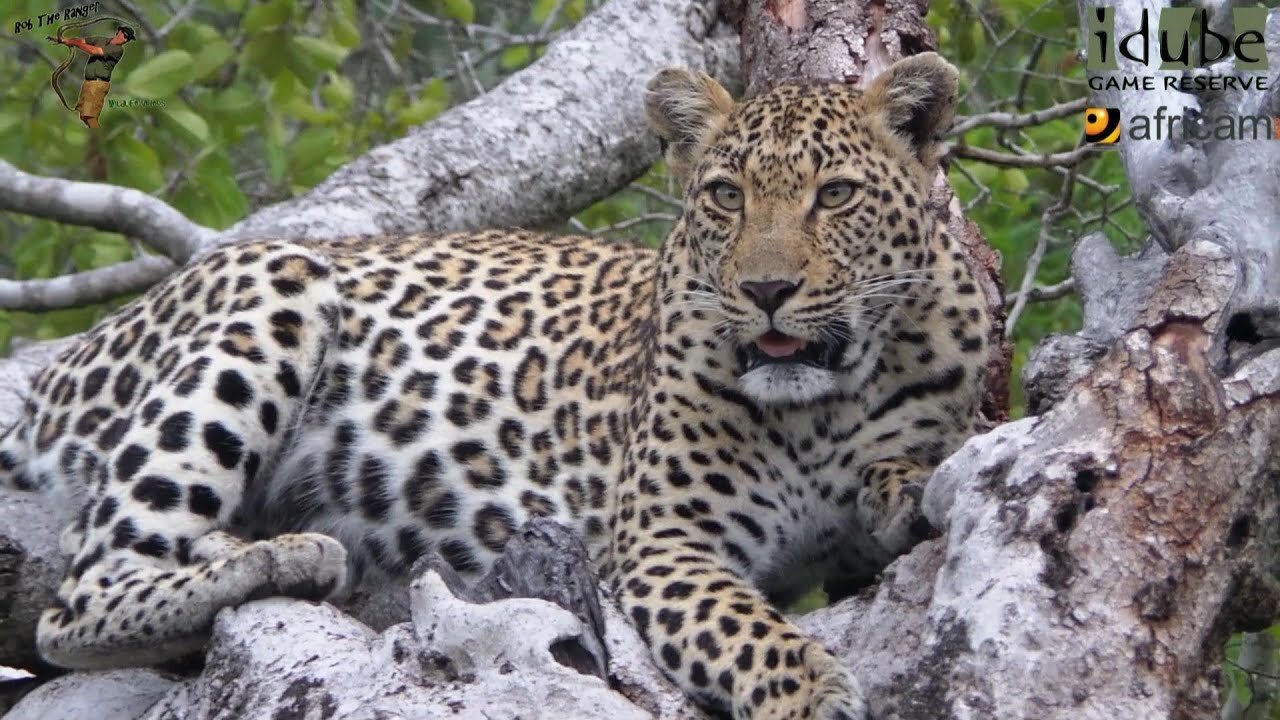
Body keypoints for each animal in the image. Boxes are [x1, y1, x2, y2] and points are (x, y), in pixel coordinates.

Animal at [0, 51, 988, 717]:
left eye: (836, 196)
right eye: (726, 197)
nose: (767, 290)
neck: (821, 405)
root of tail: (65, 363)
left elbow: (901, 478)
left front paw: (897, 486)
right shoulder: (665, 544)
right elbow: (745, 629)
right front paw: (809, 691)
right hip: (272, 284)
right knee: (79, 595)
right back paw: (278, 558)